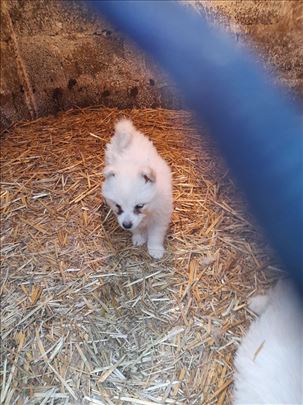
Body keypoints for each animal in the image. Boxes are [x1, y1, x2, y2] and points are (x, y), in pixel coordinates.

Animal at [102, 117, 172, 258]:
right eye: (118, 206)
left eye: (139, 206)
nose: (126, 225)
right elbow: (137, 228)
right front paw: (139, 237)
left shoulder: (160, 216)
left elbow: (156, 234)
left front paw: (155, 249)